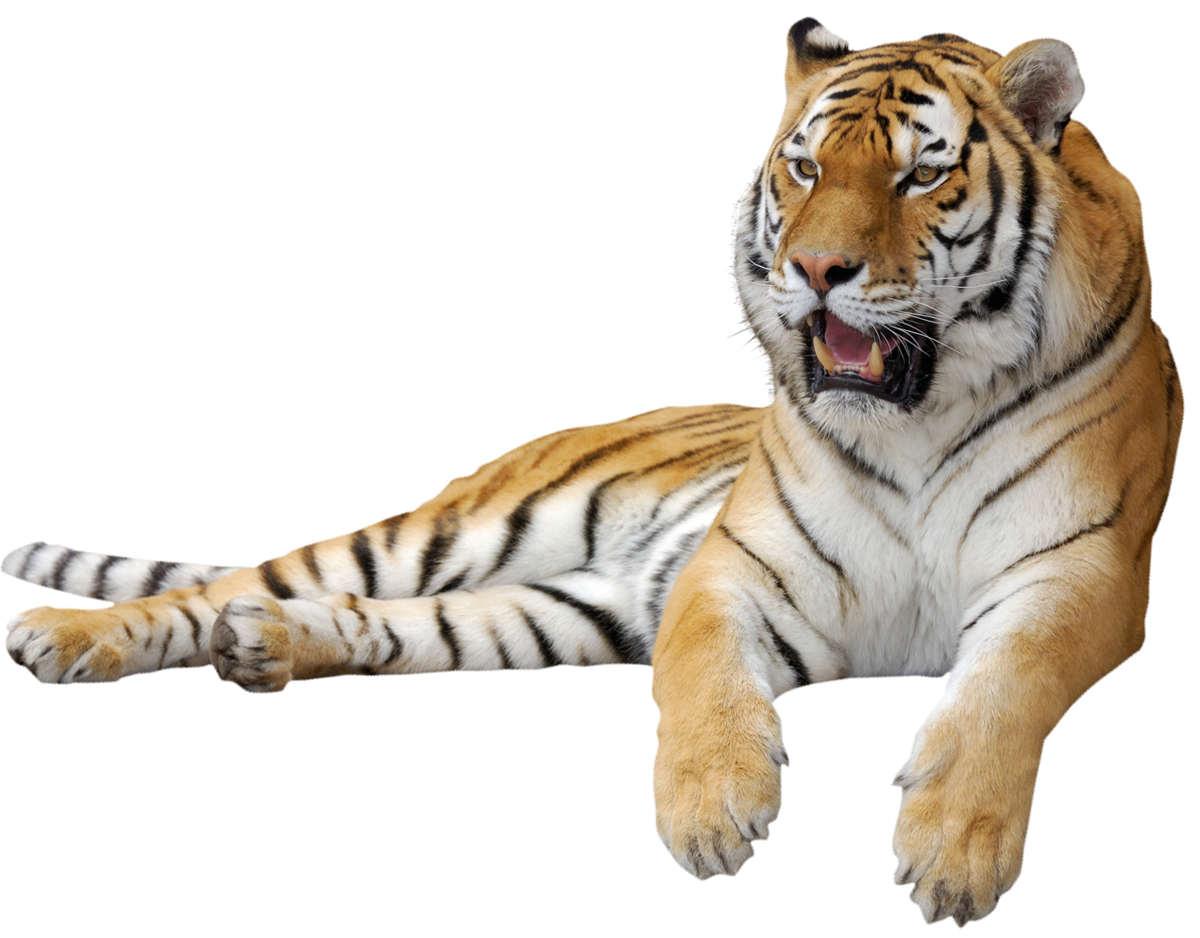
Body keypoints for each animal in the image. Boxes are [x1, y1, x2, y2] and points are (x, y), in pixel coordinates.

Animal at [2, 19, 1182, 927]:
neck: (918, 420)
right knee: (234, 582)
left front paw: (952, 848)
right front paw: (708, 812)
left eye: (921, 172)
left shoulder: (1077, 572)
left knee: (391, 620)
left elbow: (1003, 687)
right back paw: (64, 631)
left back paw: (274, 646)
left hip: (566, 608)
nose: (813, 269)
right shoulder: (735, 566)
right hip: (459, 529)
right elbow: (705, 678)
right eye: (805, 167)